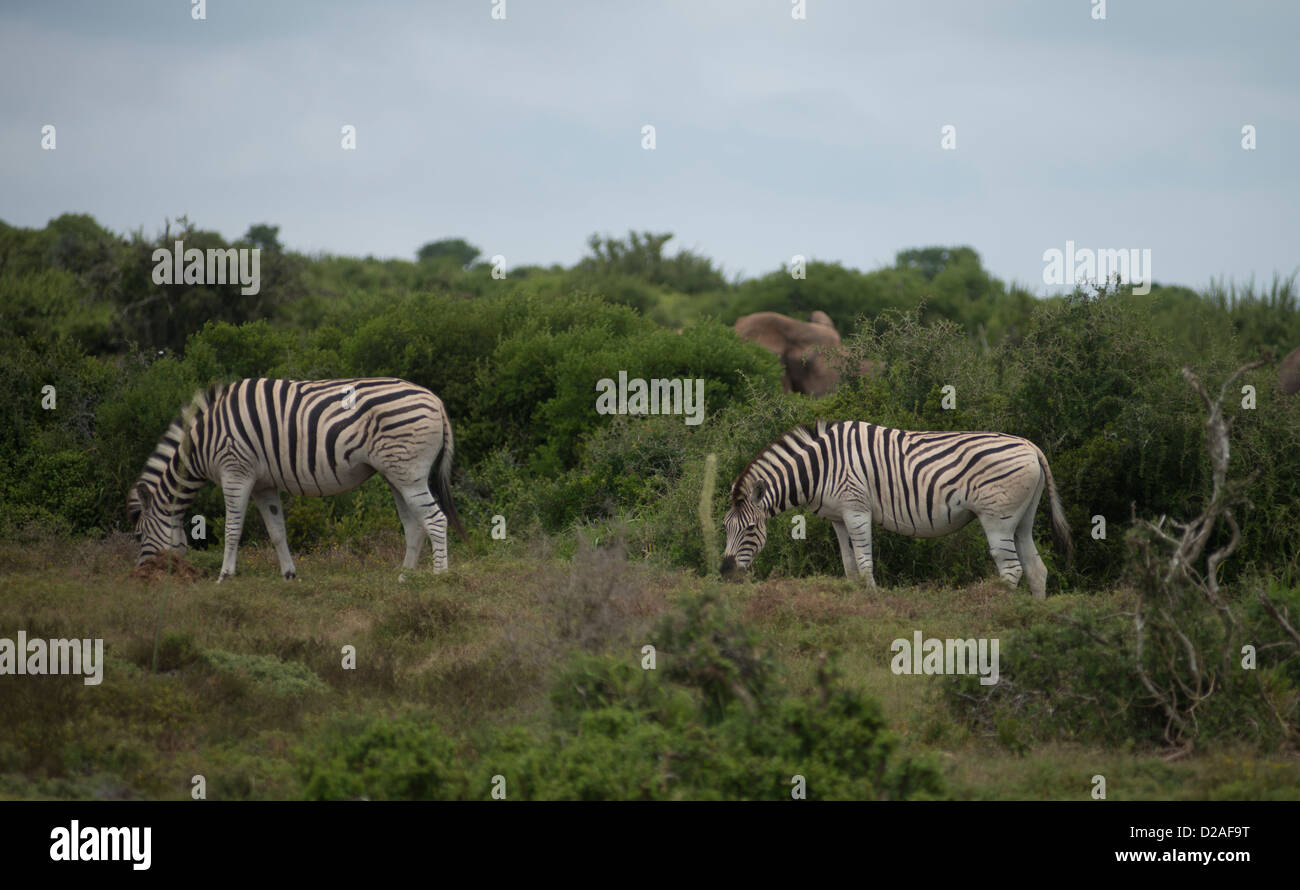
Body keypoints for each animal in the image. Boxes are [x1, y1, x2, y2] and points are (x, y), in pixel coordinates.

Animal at [127, 377, 467, 581]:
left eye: (139, 535)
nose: (140, 575)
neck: (202, 441)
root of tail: (436, 401)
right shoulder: (263, 484)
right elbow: (277, 531)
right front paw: (289, 575)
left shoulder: (235, 471)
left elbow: (232, 529)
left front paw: (224, 575)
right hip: (397, 475)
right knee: (414, 526)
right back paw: (404, 577)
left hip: (408, 473)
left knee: (435, 519)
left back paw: (439, 575)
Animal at [721, 421, 1071, 598]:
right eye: (725, 527)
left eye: (750, 529)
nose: (725, 572)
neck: (820, 467)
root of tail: (1031, 446)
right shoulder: (837, 518)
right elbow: (849, 564)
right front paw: (853, 597)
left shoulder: (856, 509)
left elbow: (864, 562)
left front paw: (872, 600)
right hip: (1021, 518)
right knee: (1036, 569)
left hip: (997, 518)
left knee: (1011, 569)